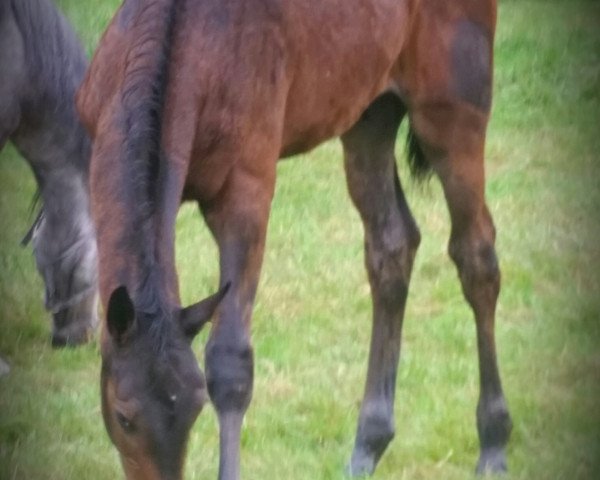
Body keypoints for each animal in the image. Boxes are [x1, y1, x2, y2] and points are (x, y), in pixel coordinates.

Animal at [77, 0, 512, 478]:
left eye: (195, 409)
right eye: (123, 416)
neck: (185, 43)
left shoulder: (246, 190)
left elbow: (230, 364)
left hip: (451, 110)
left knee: (476, 257)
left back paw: (493, 442)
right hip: (368, 116)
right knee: (392, 245)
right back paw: (367, 446)